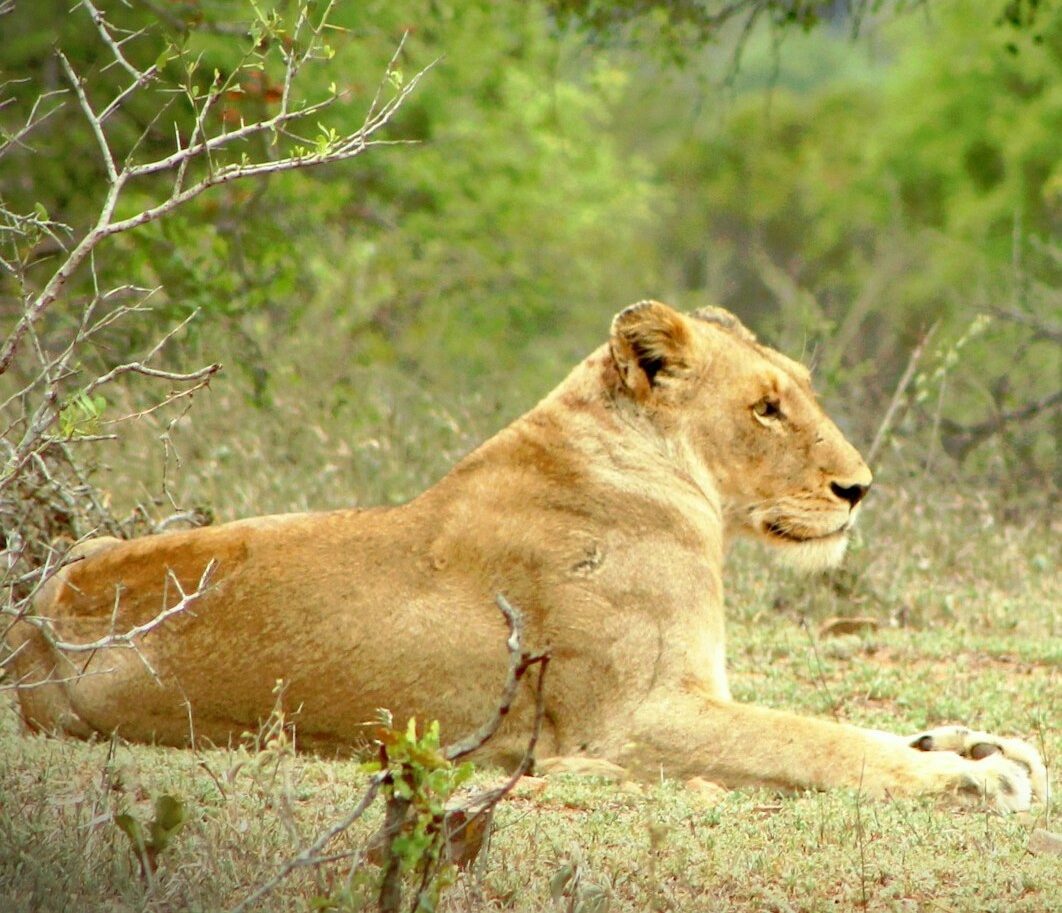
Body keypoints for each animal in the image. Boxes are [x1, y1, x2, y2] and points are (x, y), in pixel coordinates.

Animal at [5, 301, 1047, 812]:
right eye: (765, 407)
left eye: (798, 389)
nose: (858, 487)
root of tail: (34, 625)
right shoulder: (640, 716)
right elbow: (813, 740)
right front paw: (973, 777)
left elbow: (848, 727)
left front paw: (975, 742)